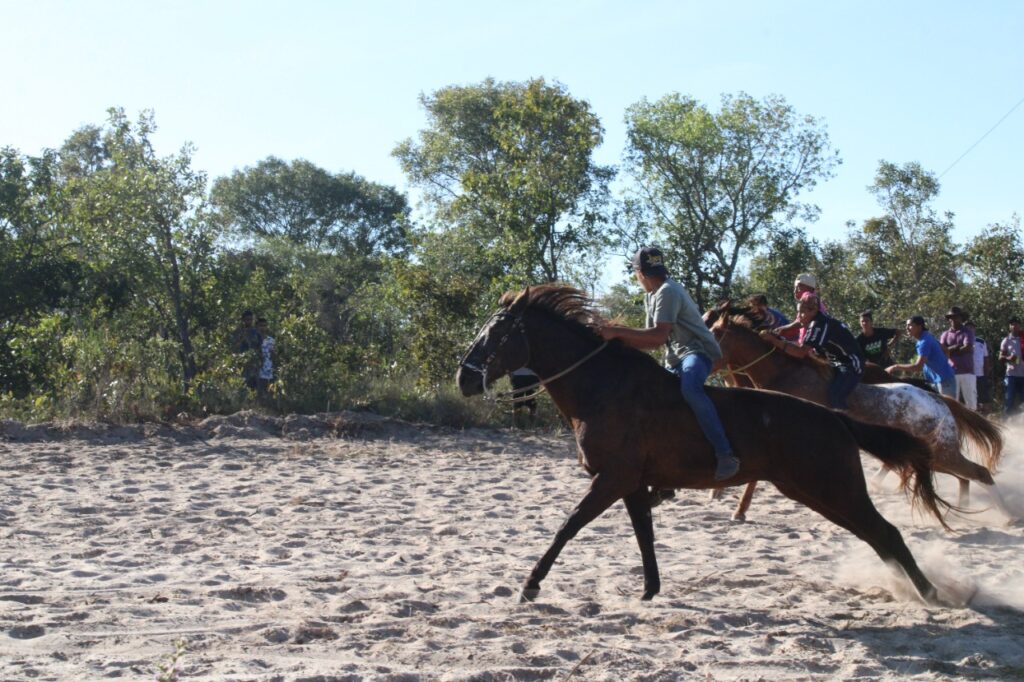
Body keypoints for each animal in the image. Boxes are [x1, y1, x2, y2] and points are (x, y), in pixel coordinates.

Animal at [456, 284, 950, 602]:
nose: (464, 378)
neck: (603, 388)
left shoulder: (610, 479)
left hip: (834, 488)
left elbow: (568, 526)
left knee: (886, 533)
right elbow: (644, 535)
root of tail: (835, 417)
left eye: (496, 334)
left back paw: (933, 594)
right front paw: (650, 589)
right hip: (819, 492)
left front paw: (530, 584)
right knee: (878, 537)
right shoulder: (631, 483)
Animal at [700, 301, 1011, 520]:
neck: (783, 373)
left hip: (941, 451)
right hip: (932, 455)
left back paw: (1006, 516)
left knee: (979, 472)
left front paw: (739, 510)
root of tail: (940, 401)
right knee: (964, 477)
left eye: (712, 334)